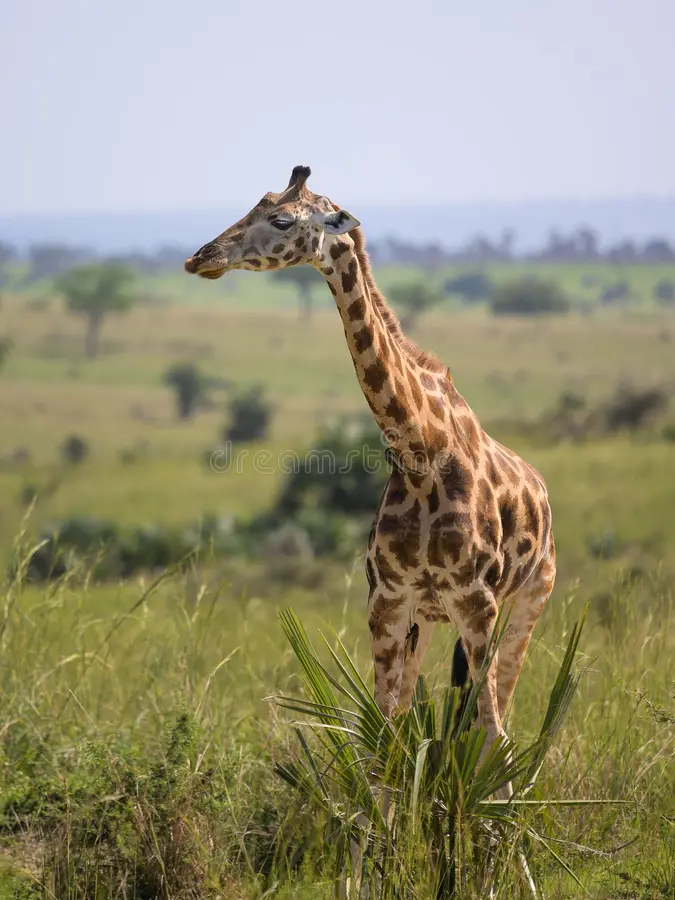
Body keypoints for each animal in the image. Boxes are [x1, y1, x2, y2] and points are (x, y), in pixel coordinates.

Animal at [185, 165, 556, 766]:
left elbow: (490, 736)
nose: (201, 258)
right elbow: (384, 732)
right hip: (427, 620)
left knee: (500, 717)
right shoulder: (389, 601)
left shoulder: (478, 604)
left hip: (529, 601)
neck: (422, 452)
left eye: (281, 220)